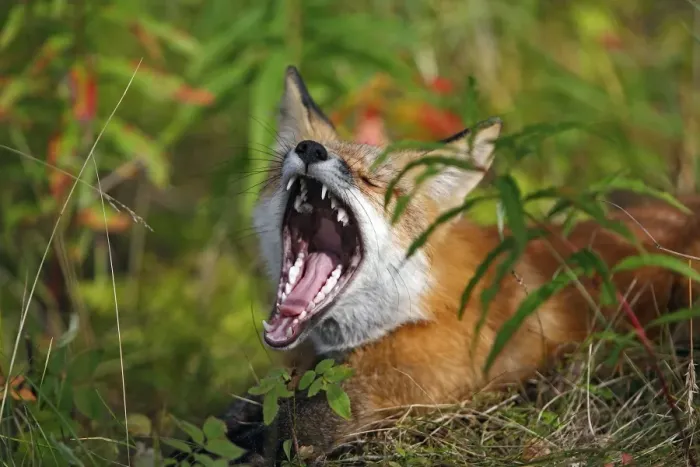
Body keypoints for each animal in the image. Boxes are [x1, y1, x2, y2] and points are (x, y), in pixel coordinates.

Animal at [212, 66, 700, 465]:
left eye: (372, 180)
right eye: (289, 156)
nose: (310, 149)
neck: (421, 306)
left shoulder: (431, 379)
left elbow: (306, 419)